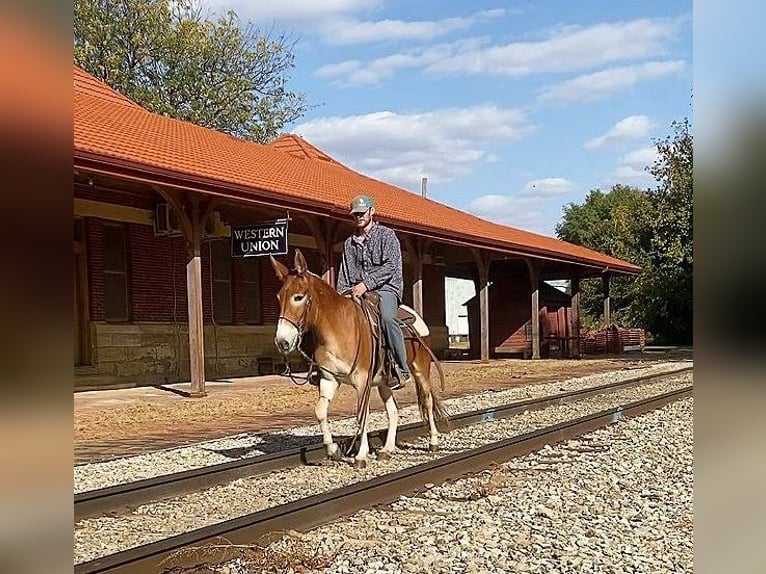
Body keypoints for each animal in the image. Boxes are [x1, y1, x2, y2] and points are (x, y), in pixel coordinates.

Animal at [270, 251, 450, 468]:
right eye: (279, 297)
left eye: (298, 297)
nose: (282, 342)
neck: (338, 328)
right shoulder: (329, 379)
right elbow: (320, 410)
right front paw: (333, 451)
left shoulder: (362, 381)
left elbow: (361, 414)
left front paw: (360, 456)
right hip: (384, 382)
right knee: (393, 411)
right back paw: (387, 450)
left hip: (420, 370)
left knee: (428, 401)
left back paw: (433, 442)